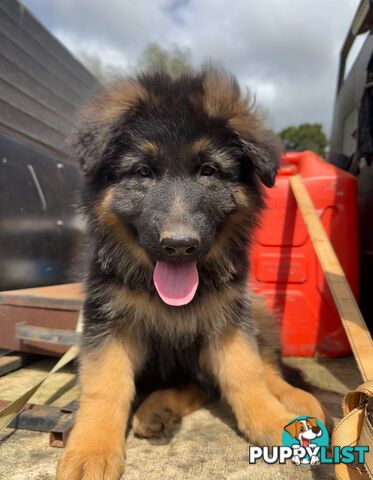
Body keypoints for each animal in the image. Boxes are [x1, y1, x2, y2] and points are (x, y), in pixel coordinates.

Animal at [56, 69, 326, 478]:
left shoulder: (228, 318)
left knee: (265, 368)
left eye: (208, 171)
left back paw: (296, 402)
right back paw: (158, 408)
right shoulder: (107, 323)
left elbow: (246, 374)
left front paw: (273, 421)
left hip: (257, 309)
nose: (179, 245)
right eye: (143, 172)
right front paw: (91, 449)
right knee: (202, 385)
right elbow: (104, 387)